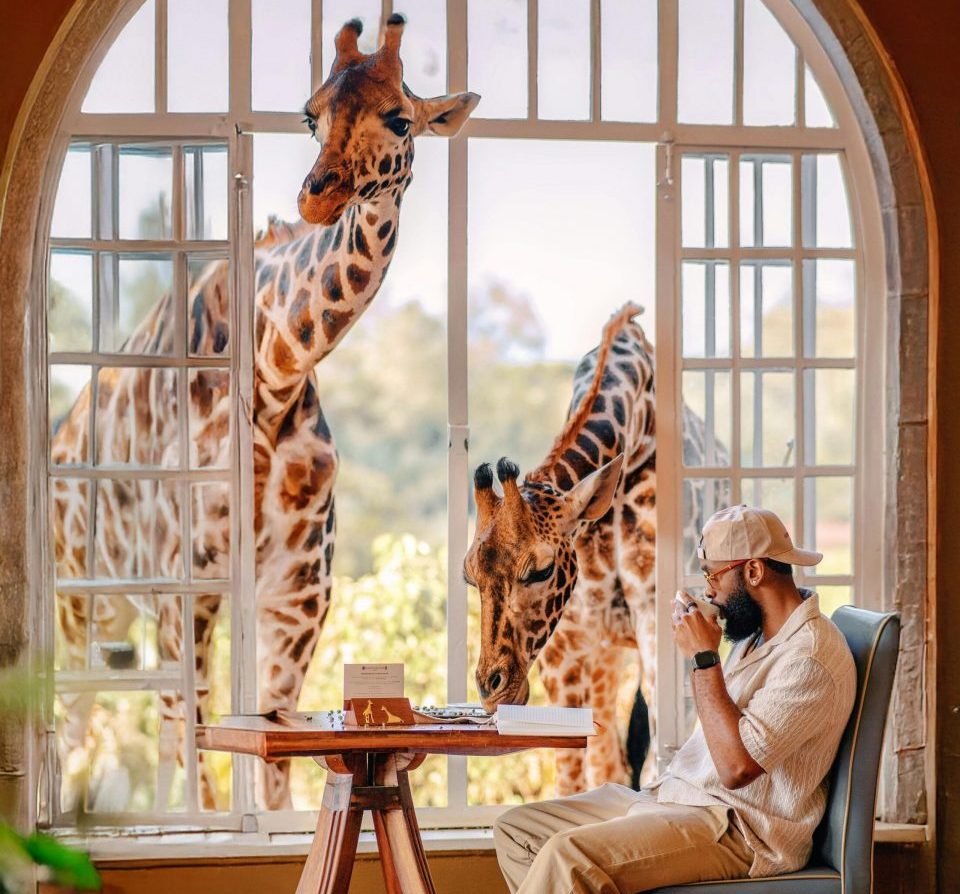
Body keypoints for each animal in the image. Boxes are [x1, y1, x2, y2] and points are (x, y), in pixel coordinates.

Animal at [51, 14, 480, 813]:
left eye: (401, 117)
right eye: (312, 114)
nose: (317, 195)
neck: (275, 376)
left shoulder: (297, 594)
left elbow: (276, 756)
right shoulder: (188, 583)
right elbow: (197, 739)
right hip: (84, 597)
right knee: (90, 712)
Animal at [464, 303, 725, 795]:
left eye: (540, 570)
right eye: (469, 576)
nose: (493, 690)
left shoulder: (655, 620)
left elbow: (653, 760)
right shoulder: (569, 641)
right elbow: (573, 775)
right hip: (606, 652)